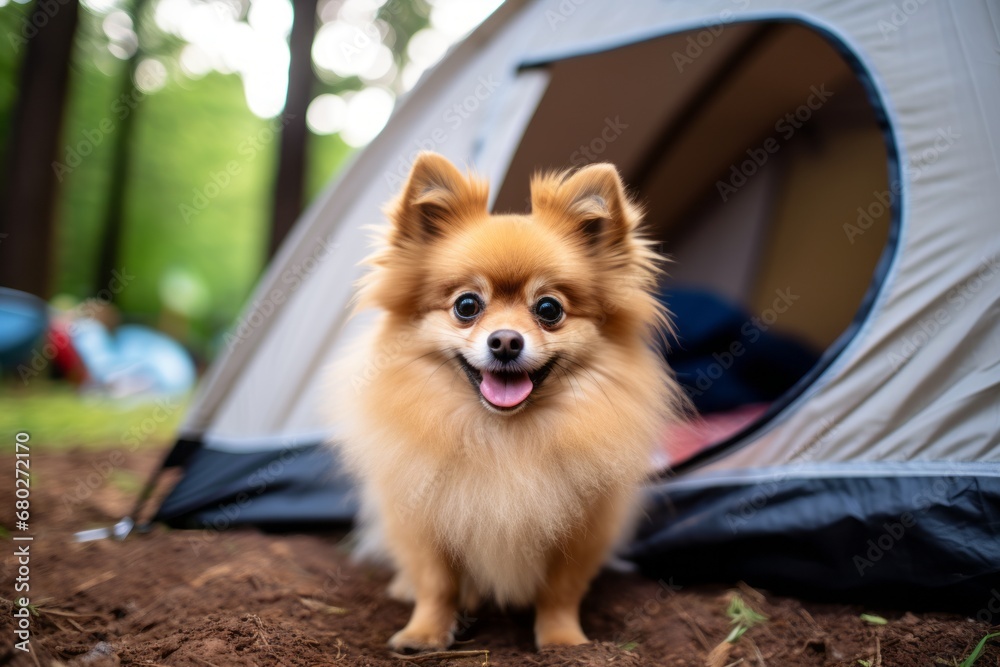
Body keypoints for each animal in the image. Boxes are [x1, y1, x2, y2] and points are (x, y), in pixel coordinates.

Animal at [332, 151, 684, 652]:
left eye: (549, 309)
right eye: (466, 306)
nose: (504, 341)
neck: (504, 437)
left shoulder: (582, 528)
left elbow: (561, 590)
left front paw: (563, 640)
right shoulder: (425, 520)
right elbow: (436, 583)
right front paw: (424, 633)